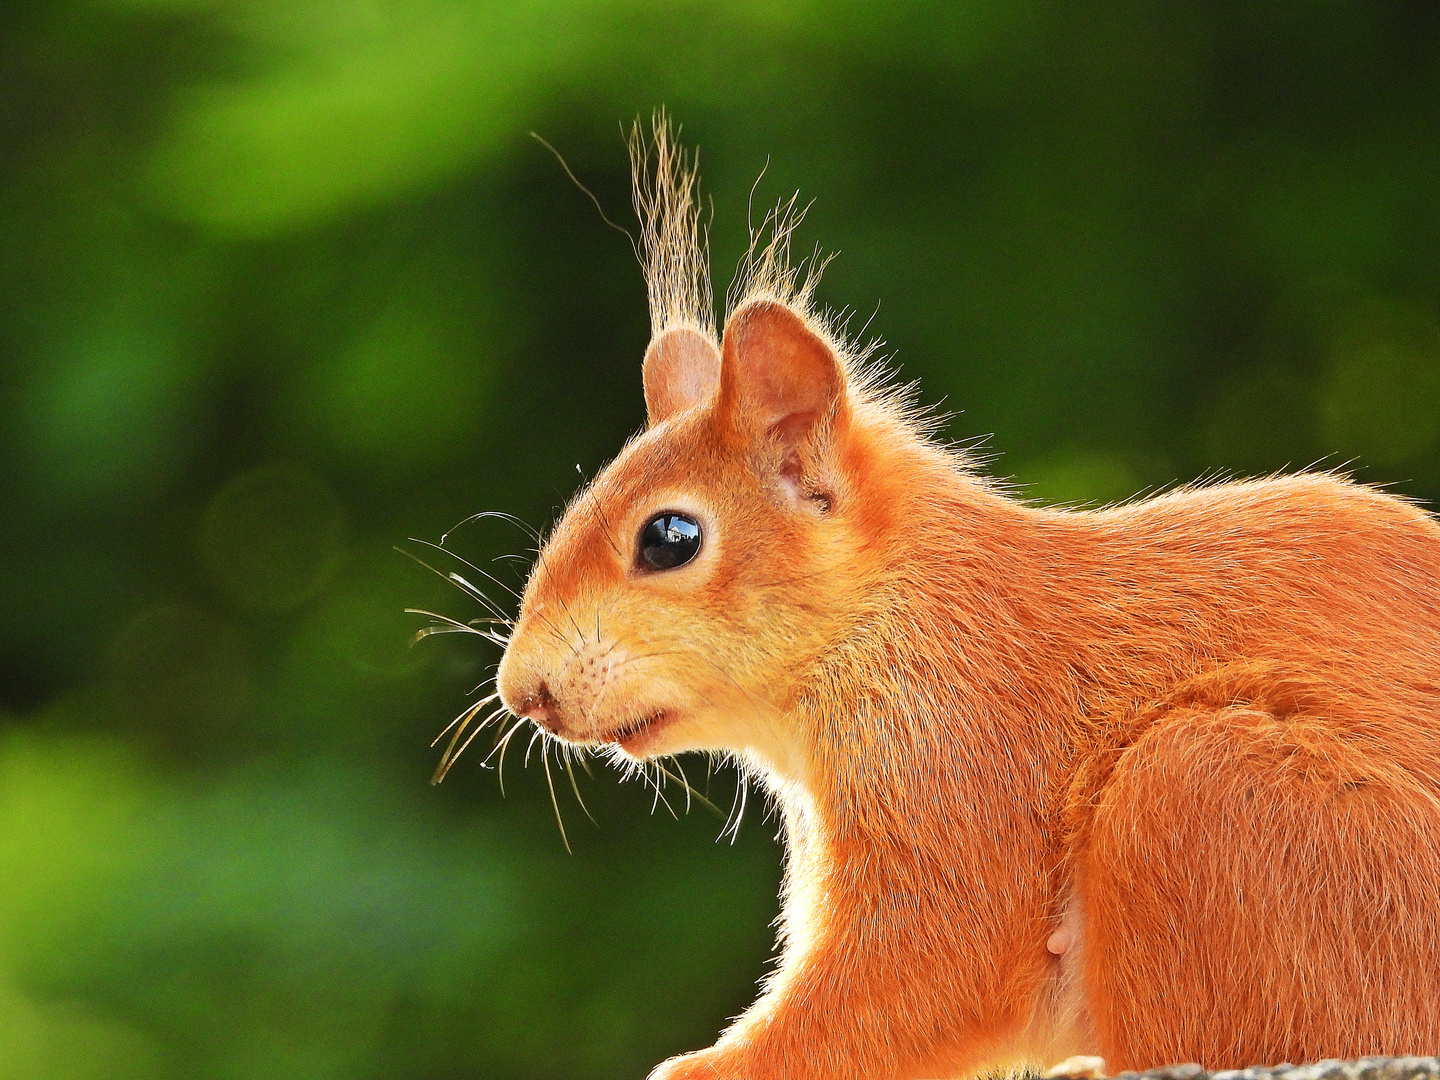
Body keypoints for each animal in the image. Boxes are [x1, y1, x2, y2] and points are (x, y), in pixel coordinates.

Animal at [486, 122, 1440, 1077]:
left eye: (670, 538)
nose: (522, 693)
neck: (897, 613)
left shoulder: (962, 755)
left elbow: (930, 964)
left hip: (1210, 798)